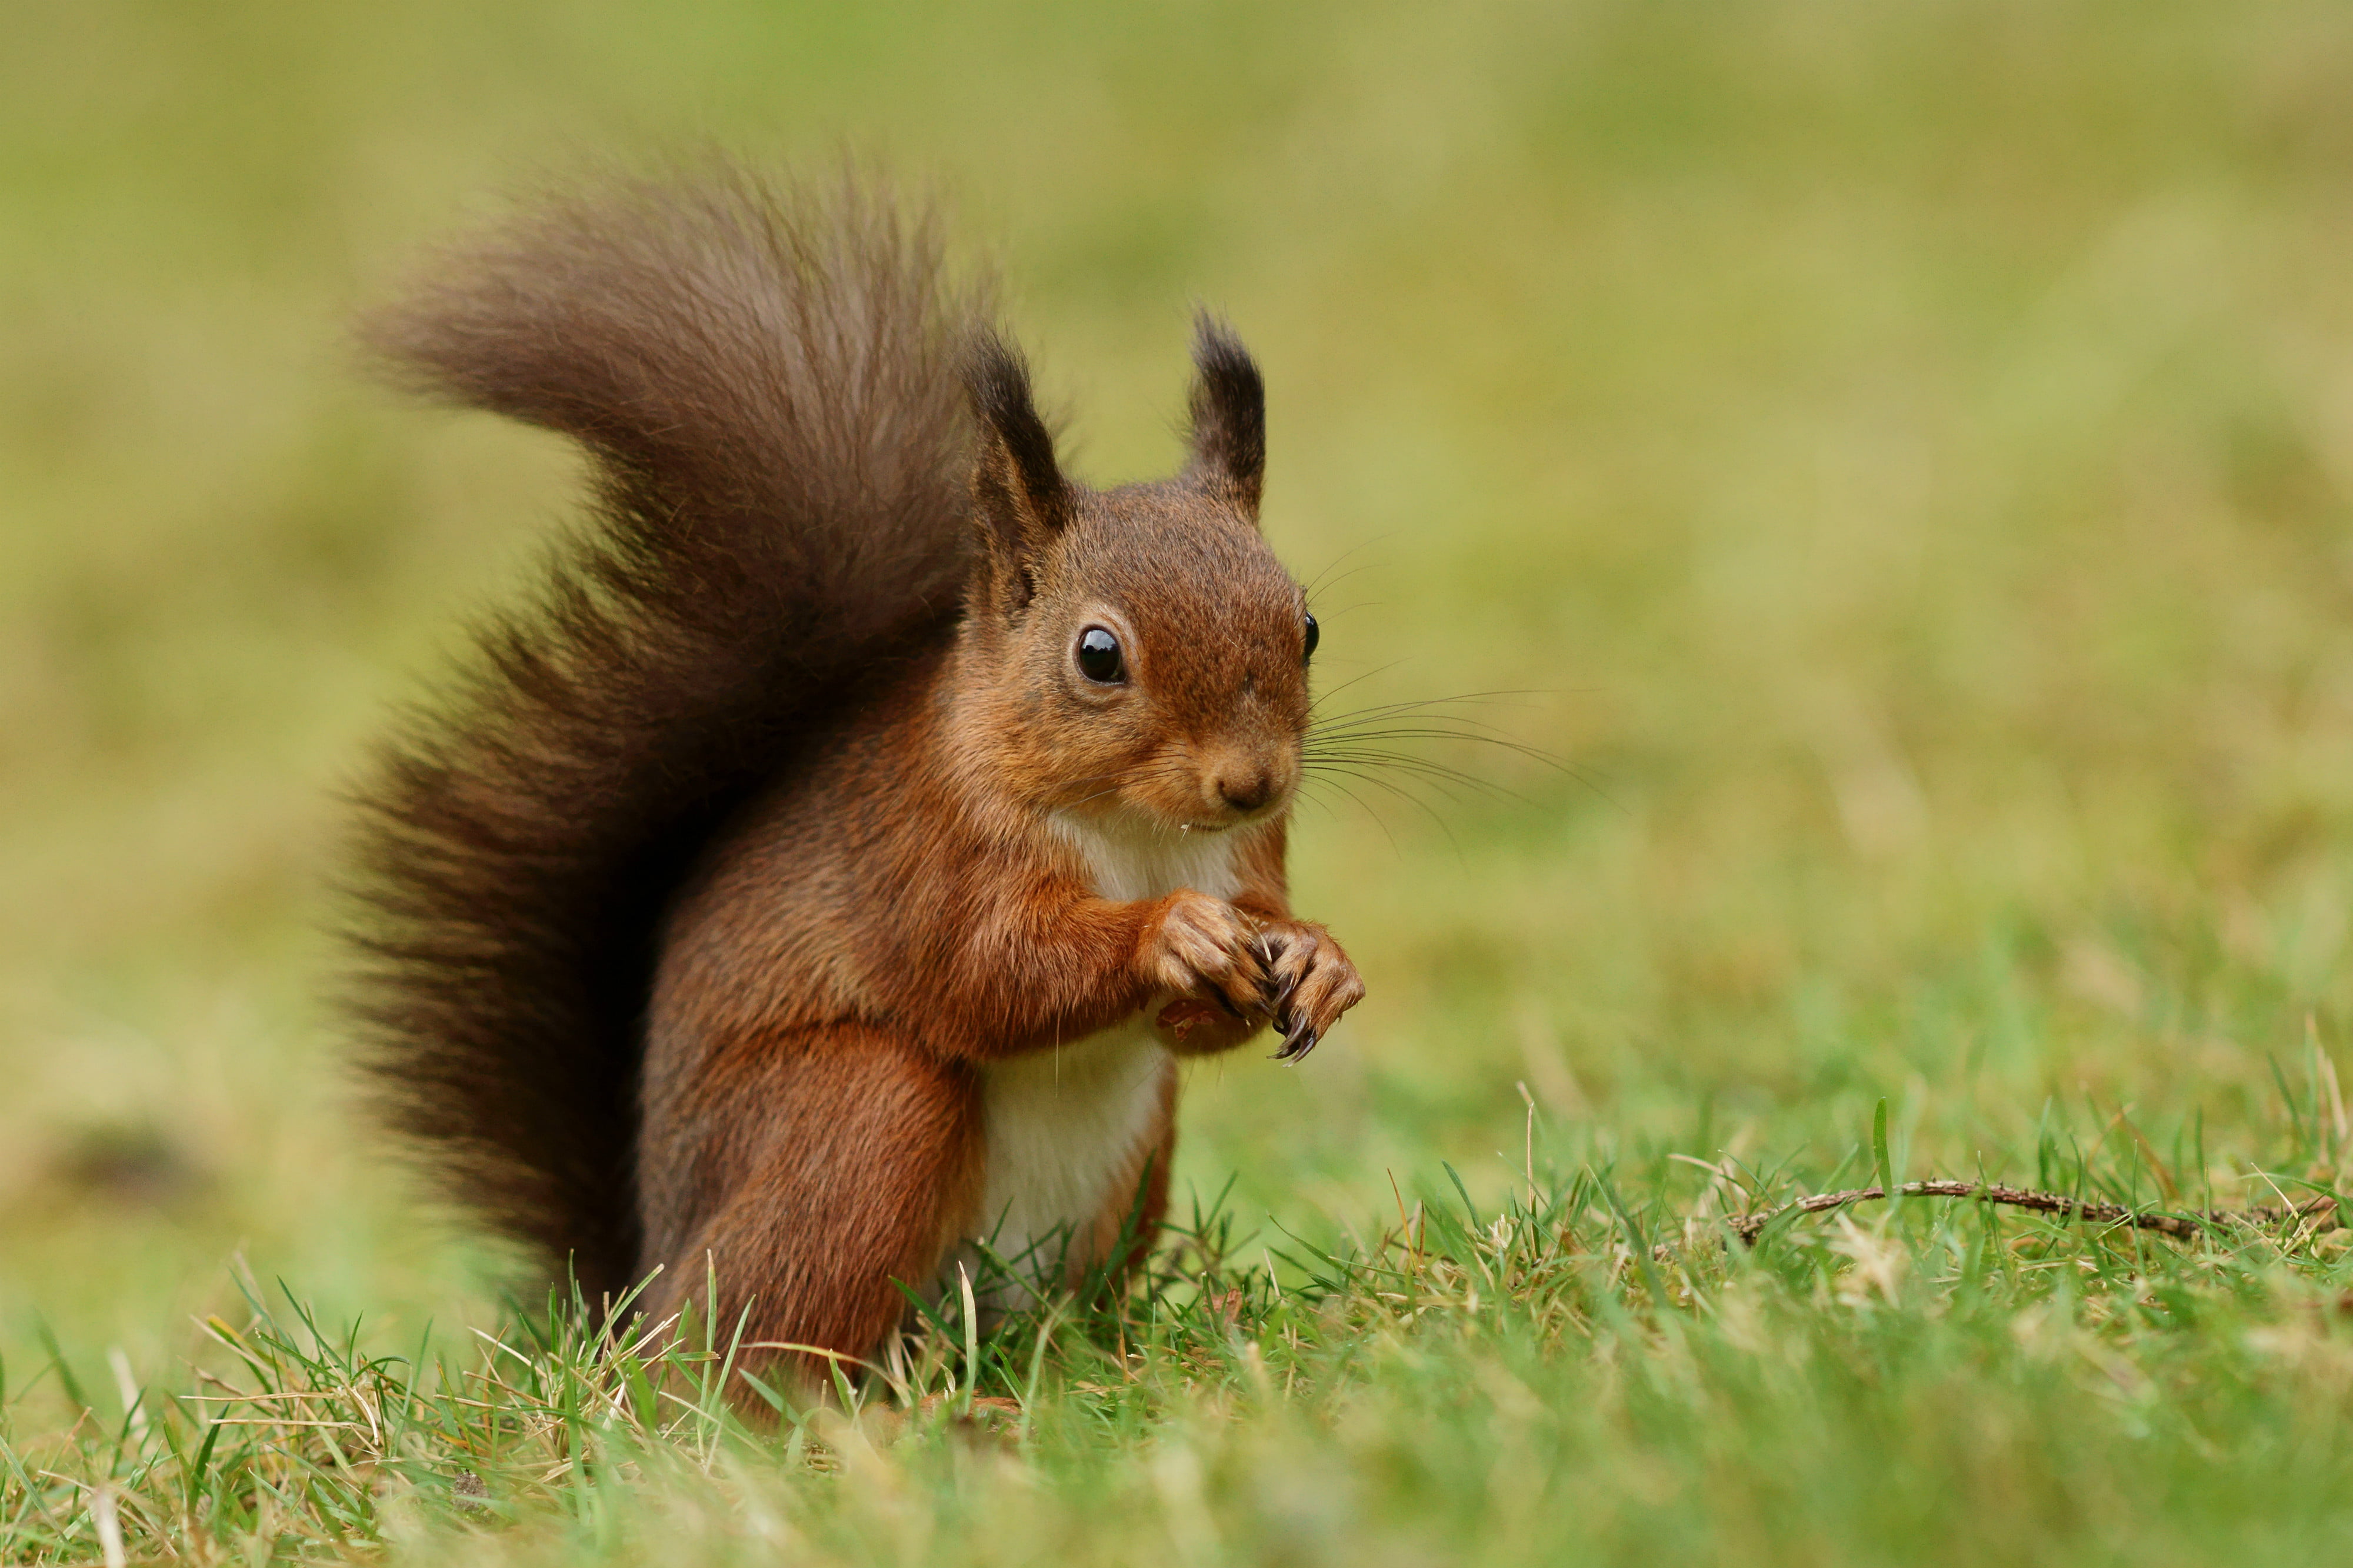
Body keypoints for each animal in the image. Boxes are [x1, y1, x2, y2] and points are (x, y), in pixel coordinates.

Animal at [336, 165, 1365, 1374]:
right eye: (1099, 654)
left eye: (1306, 627)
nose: (1252, 782)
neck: (1136, 830)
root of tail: (642, 1293)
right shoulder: (919, 849)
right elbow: (988, 973)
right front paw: (1170, 934)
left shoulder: (1252, 856)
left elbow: (1198, 1013)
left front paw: (1319, 959)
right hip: (857, 1114)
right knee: (755, 1351)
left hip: (1128, 1158)